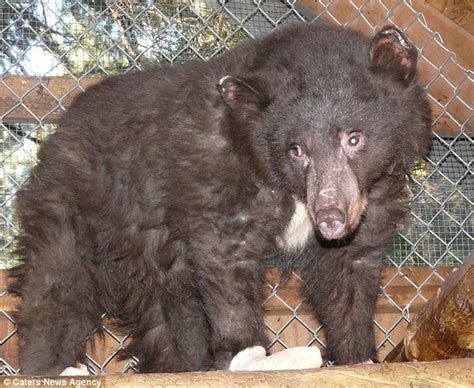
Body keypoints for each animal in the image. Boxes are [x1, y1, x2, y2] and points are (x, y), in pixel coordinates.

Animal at [11, 22, 434, 374]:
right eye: (297, 151)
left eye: (354, 138)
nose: (330, 218)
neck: (287, 185)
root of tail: (59, 130)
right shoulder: (217, 174)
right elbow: (225, 253)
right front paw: (249, 355)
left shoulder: (371, 192)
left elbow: (348, 267)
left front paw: (358, 356)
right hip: (74, 200)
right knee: (56, 280)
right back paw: (53, 366)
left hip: (149, 249)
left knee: (167, 313)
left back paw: (180, 364)